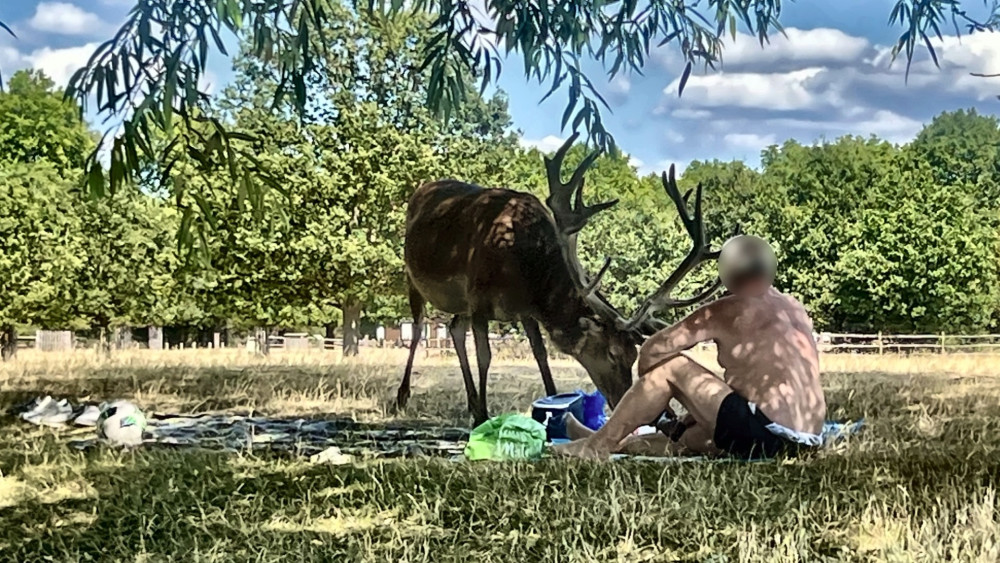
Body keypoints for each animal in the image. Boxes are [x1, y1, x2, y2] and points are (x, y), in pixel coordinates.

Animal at [395, 132, 724, 425]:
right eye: (613, 353)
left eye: (634, 355)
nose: (654, 414)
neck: (524, 268)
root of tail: (421, 190)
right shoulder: (478, 299)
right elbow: (485, 356)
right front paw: (483, 417)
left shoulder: (524, 310)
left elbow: (541, 354)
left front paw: (553, 402)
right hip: (413, 274)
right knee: (419, 325)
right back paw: (404, 396)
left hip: (458, 303)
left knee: (453, 328)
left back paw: (471, 402)